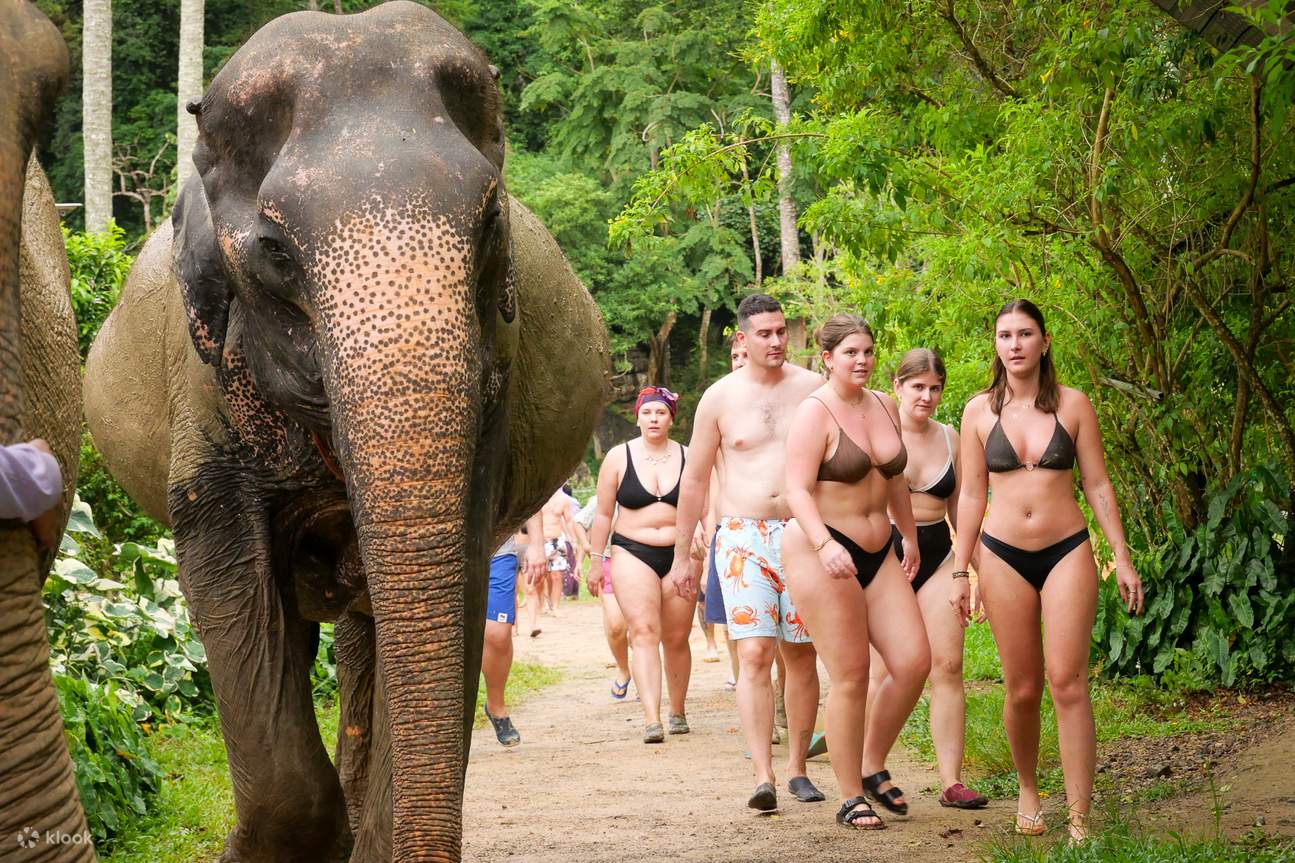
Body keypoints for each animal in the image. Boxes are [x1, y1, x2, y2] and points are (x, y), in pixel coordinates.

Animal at [82, 2, 609, 861]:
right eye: (274, 251)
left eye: (490, 222)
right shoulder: (204, 395)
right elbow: (226, 571)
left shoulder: (495, 377)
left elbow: (448, 581)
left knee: (364, 629)